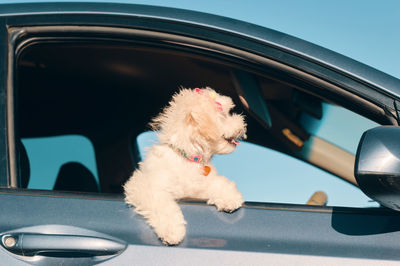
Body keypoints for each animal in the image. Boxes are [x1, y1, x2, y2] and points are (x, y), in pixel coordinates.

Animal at [123, 87, 245, 245]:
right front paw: (172, 231)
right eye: (224, 115)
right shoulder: (146, 187)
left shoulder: (198, 187)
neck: (187, 158)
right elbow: (163, 205)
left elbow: (219, 183)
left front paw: (229, 198)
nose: (242, 123)